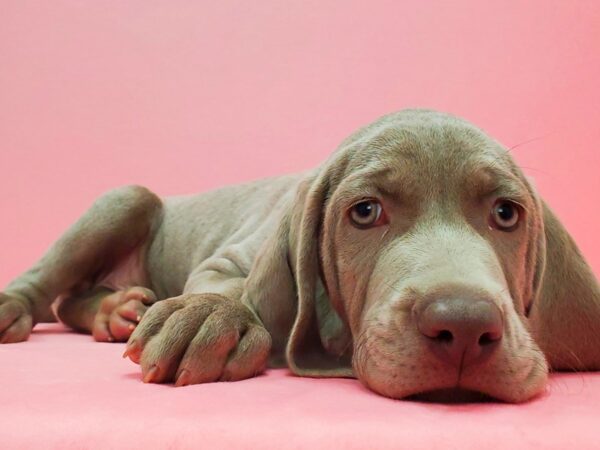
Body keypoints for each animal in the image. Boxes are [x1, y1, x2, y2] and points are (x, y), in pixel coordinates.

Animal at [1, 109, 600, 400]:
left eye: (506, 214)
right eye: (365, 212)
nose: (466, 326)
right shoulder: (229, 257)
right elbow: (226, 286)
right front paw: (213, 316)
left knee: (71, 301)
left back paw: (116, 310)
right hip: (128, 197)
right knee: (49, 290)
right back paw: (22, 308)